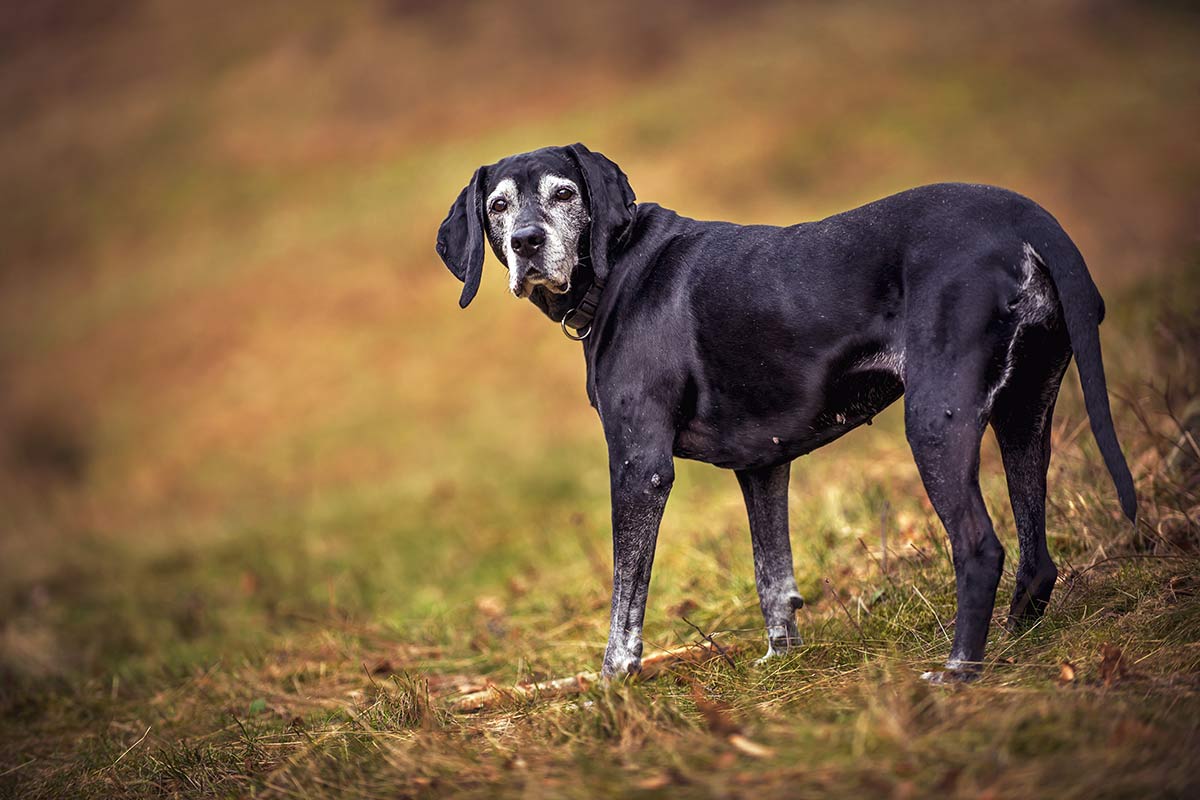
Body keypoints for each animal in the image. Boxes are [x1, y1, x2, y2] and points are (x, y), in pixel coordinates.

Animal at [434, 143, 1132, 681]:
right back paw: (1013, 643)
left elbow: (625, 597)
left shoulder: (639, 466)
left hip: (938, 419)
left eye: (563, 194)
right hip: (1024, 415)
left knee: (981, 547)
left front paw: (613, 681)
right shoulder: (762, 465)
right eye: (498, 206)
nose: (526, 242)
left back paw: (958, 670)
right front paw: (781, 659)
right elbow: (773, 573)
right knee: (1036, 557)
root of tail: (1026, 218)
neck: (618, 267)